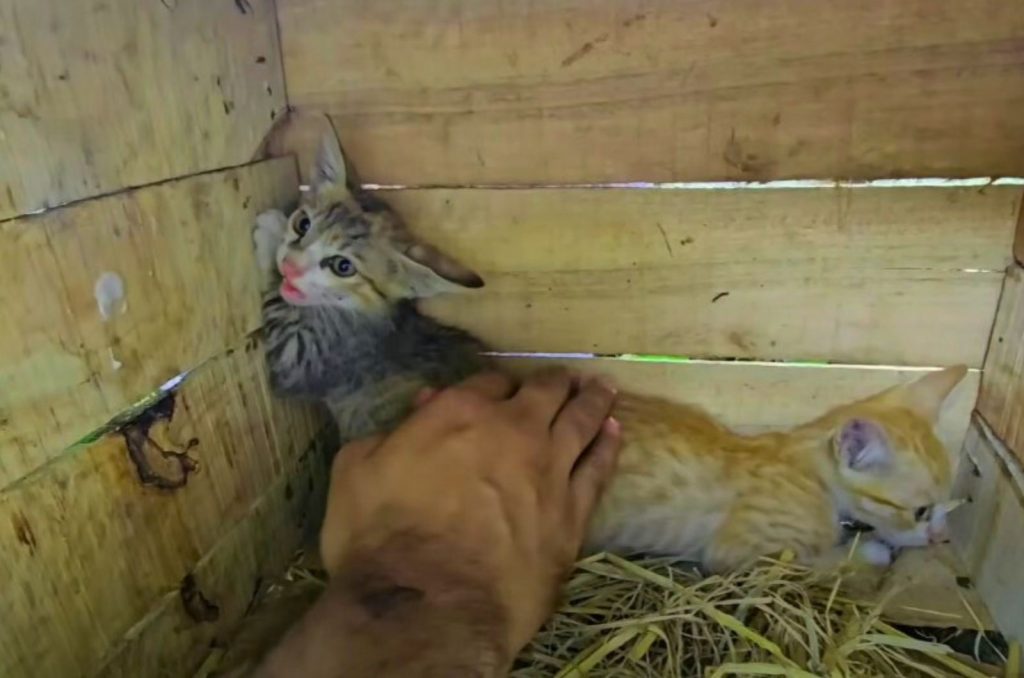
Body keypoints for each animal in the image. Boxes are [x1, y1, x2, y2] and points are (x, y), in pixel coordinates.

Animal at [585, 366, 966, 573]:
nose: (942, 538)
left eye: (947, 501)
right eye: (920, 511)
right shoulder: (744, 554)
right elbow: (822, 561)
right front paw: (871, 551)